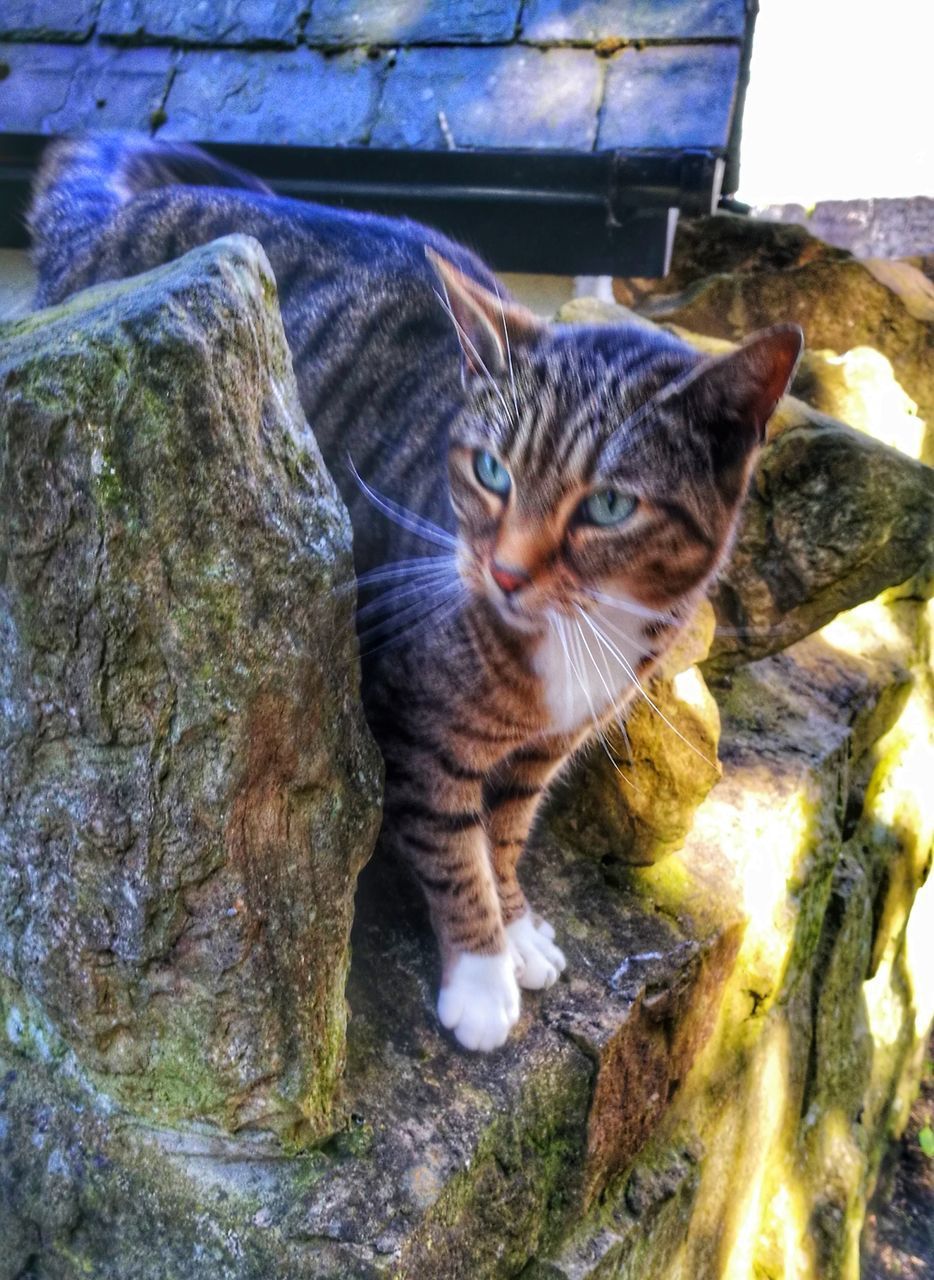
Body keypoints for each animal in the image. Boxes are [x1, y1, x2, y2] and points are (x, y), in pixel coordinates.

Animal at [29, 140, 798, 1049]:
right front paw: (483, 972)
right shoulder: (415, 723)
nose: (504, 572)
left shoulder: (543, 750)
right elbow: (454, 846)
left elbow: (505, 833)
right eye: (492, 470)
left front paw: (517, 923)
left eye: (610, 506)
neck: (577, 635)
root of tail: (106, 219)